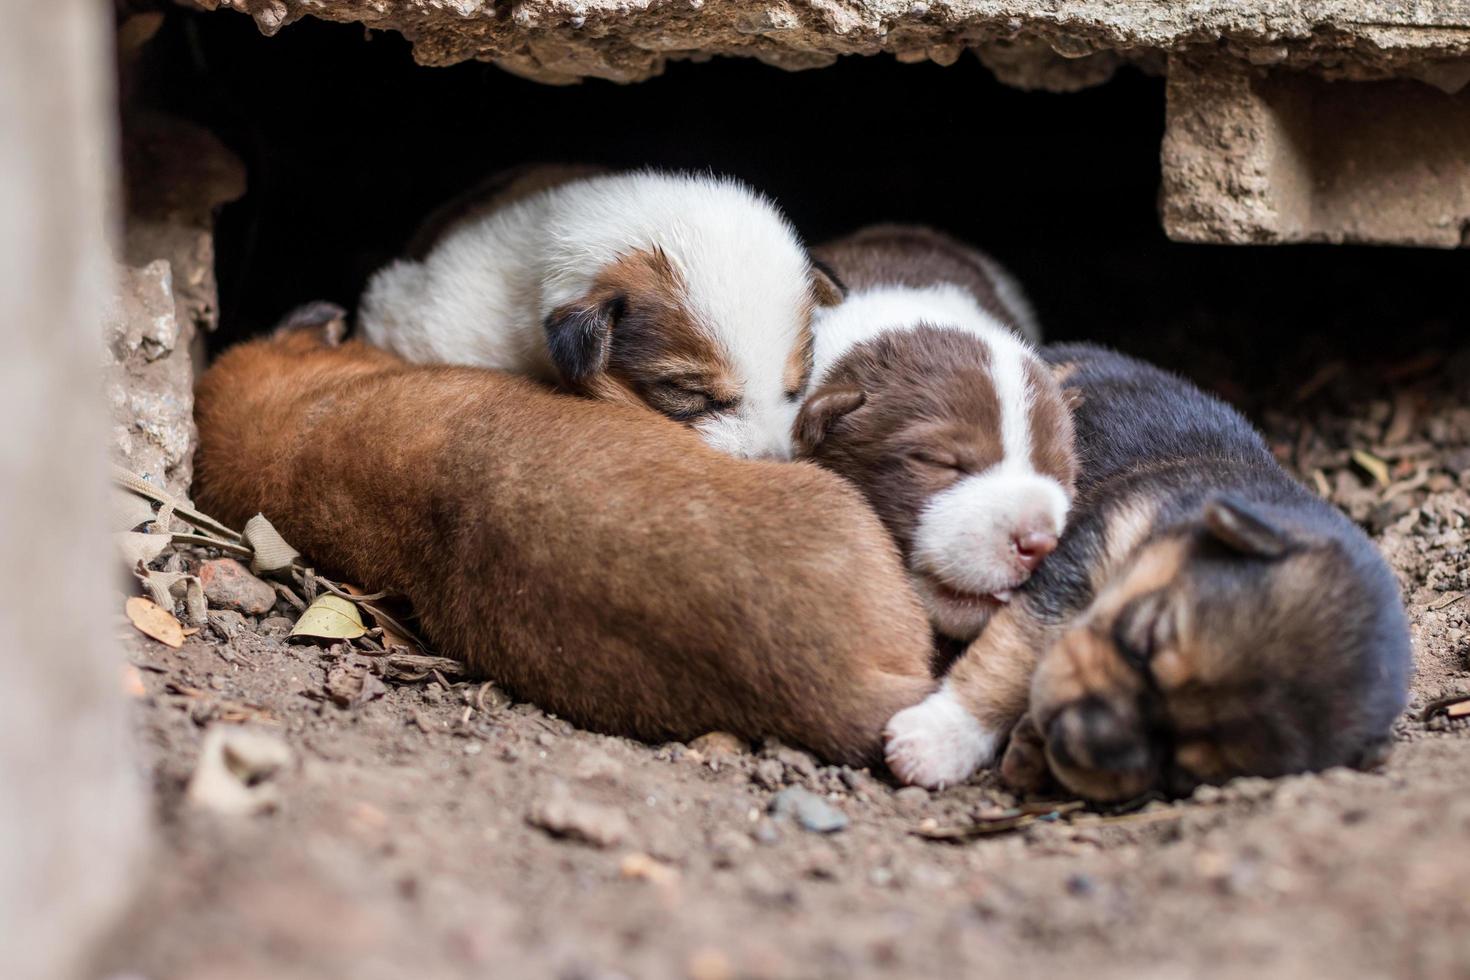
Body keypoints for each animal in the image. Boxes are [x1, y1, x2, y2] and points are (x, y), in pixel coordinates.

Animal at [882, 343, 1411, 799]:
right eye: (1144, 639)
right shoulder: (1079, 564)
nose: (1075, 739)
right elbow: (1008, 662)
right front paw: (937, 739)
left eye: (1184, 773)